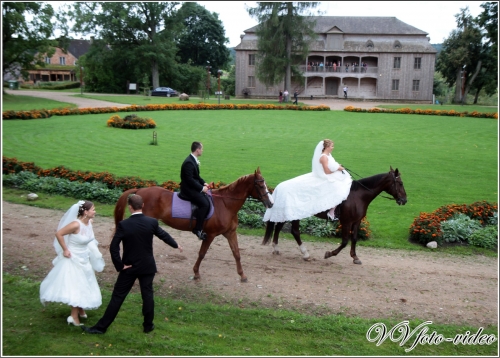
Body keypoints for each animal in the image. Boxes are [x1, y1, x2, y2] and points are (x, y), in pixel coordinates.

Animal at [114, 168, 274, 282]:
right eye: (260, 184)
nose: (271, 203)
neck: (225, 204)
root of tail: (140, 190)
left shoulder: (230, 233)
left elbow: (236, 253)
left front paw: (242, 275)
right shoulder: (210, 235)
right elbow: (202, 253)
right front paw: (196, 273)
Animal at [262, 167, 406, 262]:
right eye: (400, 183)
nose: (404, 200)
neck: (358, 195)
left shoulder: (357, 221)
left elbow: (354, 238)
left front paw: (355, 257)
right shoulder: (346, 222)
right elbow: (344, 241)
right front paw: (330, 254)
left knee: (279, 227)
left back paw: (276, 248)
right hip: (296, 215)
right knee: (295, 231)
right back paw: (305, 254)